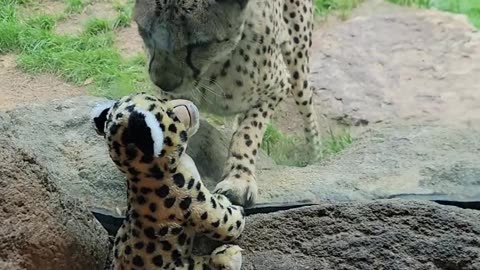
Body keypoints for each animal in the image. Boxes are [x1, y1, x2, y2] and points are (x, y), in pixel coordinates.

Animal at [92, 92, 246, 268]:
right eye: (170, 109)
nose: (189, 102)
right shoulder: (197, 203)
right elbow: (225, 222)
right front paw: (238, 212)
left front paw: (222, 198)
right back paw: (229, 256)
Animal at [133, 0, 320, 207]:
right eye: (145, 32)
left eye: (199, 44)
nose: (163, 82)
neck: (215, 66)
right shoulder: (168, 96)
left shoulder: (277, 87)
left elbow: (248, 134)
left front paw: (239, 180)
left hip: (298, 61)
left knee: (308, 110)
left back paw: (314, 155)